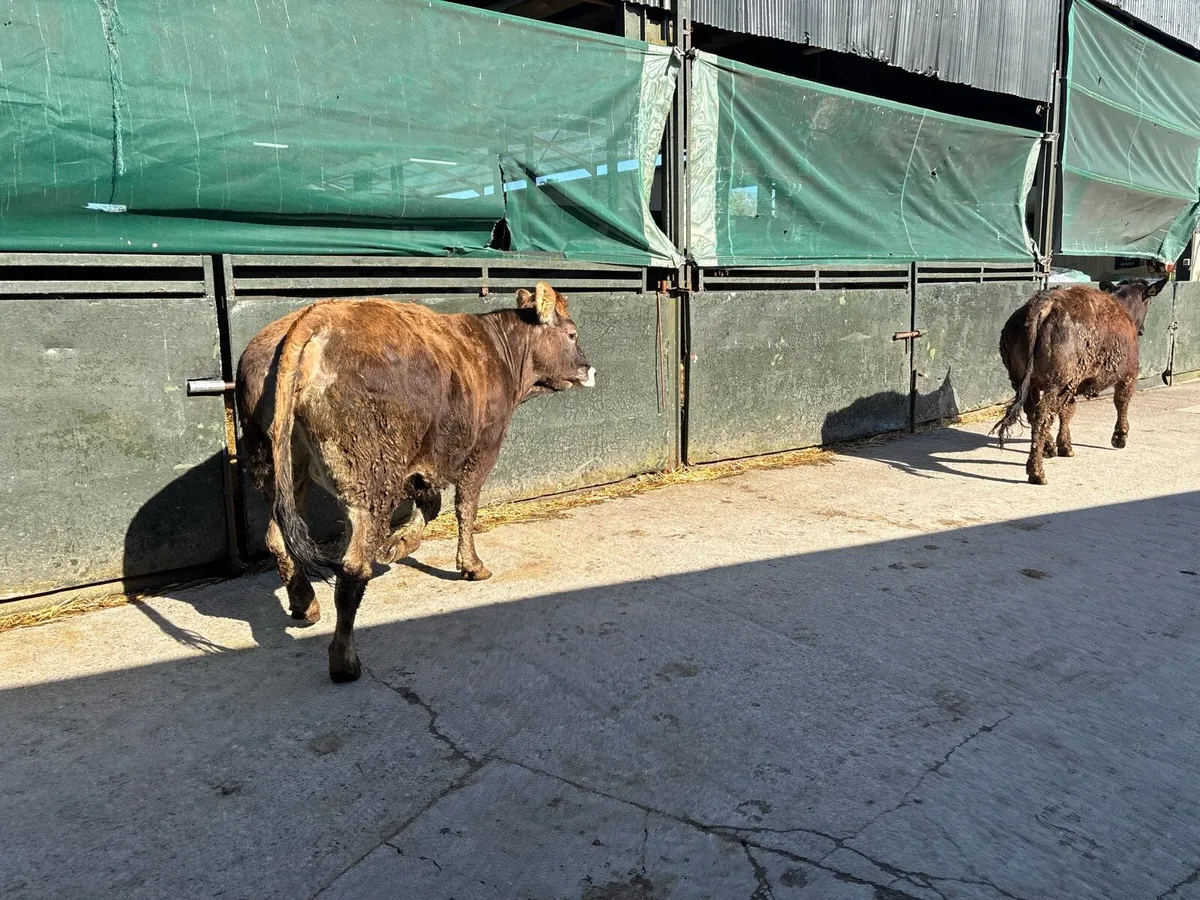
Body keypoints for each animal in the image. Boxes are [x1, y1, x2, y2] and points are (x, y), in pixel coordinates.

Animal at [236, 283, 595, 682]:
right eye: (572, 334)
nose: (588, 368)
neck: (495, 349)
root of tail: (314, 317)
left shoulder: (421, 465)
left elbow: (431, 505)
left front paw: (399, 544)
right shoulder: (480, 448)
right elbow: (464, 506)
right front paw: (472, 565)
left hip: (281, 467)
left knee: (277, 538)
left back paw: (305, 604)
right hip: (371, 476)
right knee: (352, 566)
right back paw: (344, 660)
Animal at [993, 278, 1166, 485]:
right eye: (1148, 301)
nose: (1142, 330)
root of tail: (1042, 305)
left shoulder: (1073, 384)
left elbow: (1068, 411)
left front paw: (1065, 446)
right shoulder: (1128, 374)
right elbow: (1121, 402)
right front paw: (1120, 437)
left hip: (1024, 379)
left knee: (1033, 411)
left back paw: (1047, 449)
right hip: (1059, 380)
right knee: (1044, 413)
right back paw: (1037, 471)